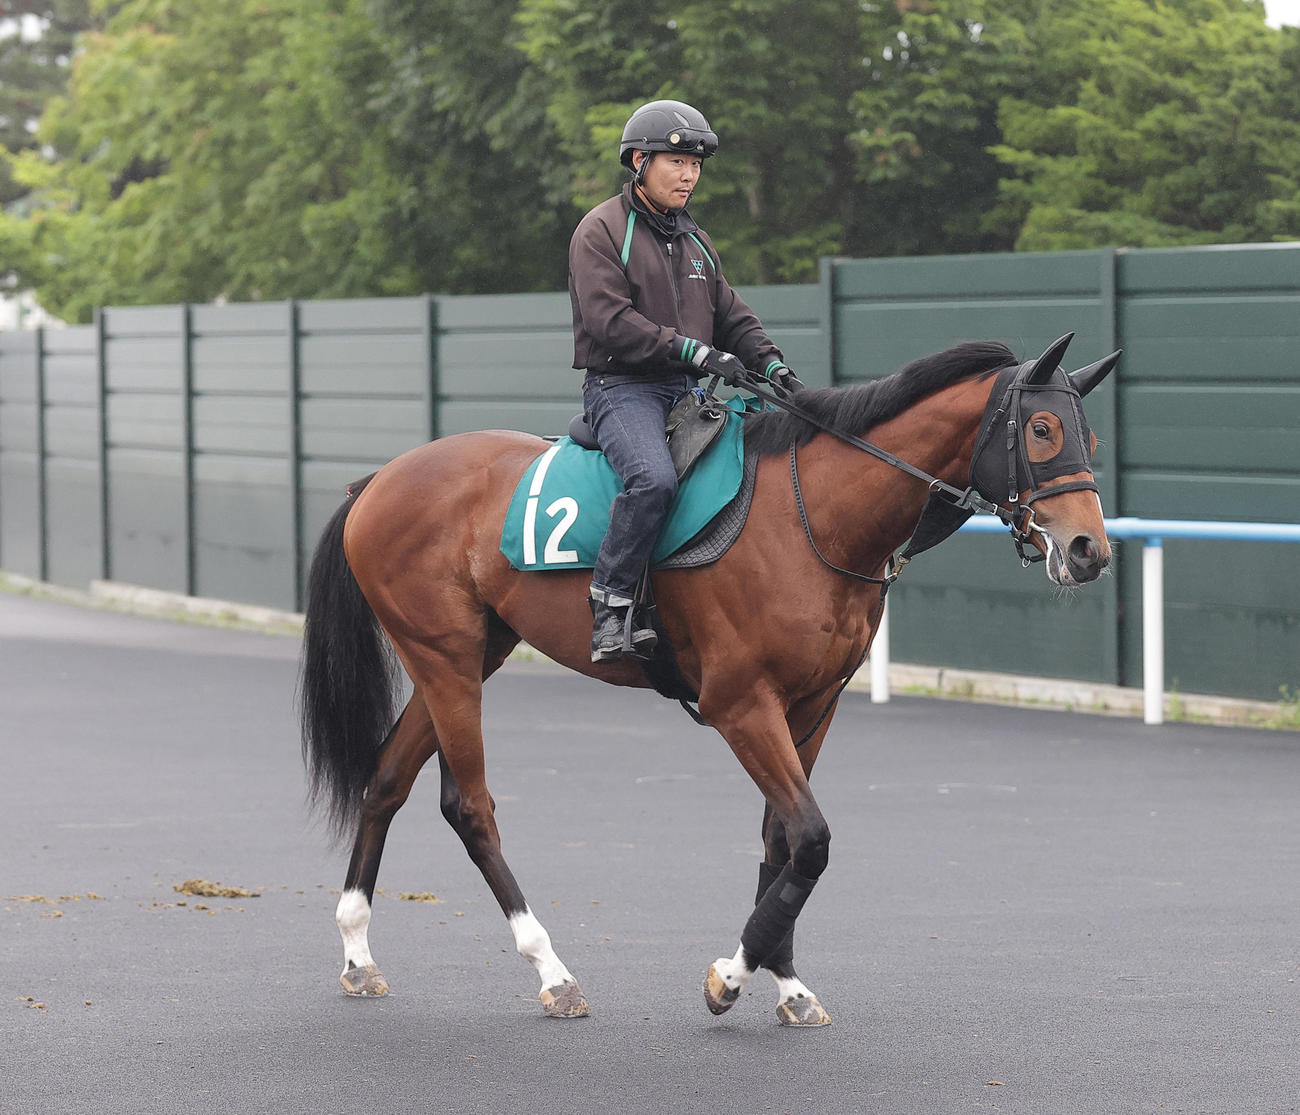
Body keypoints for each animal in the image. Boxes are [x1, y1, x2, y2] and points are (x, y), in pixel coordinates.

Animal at [299, 332, 1119, 1026]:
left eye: (1088, 438)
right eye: (1042, 431)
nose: (1089, 550)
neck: (813, 513)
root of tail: (378, 481)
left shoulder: (814, 705)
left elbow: (780, 839)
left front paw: (785, 980)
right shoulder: (740, 704)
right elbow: (811, 838)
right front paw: (731, 975)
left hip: (469, 654)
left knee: (385, 780)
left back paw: (358, 951)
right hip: (444, 656)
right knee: (468, 806)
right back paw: (552, 971)